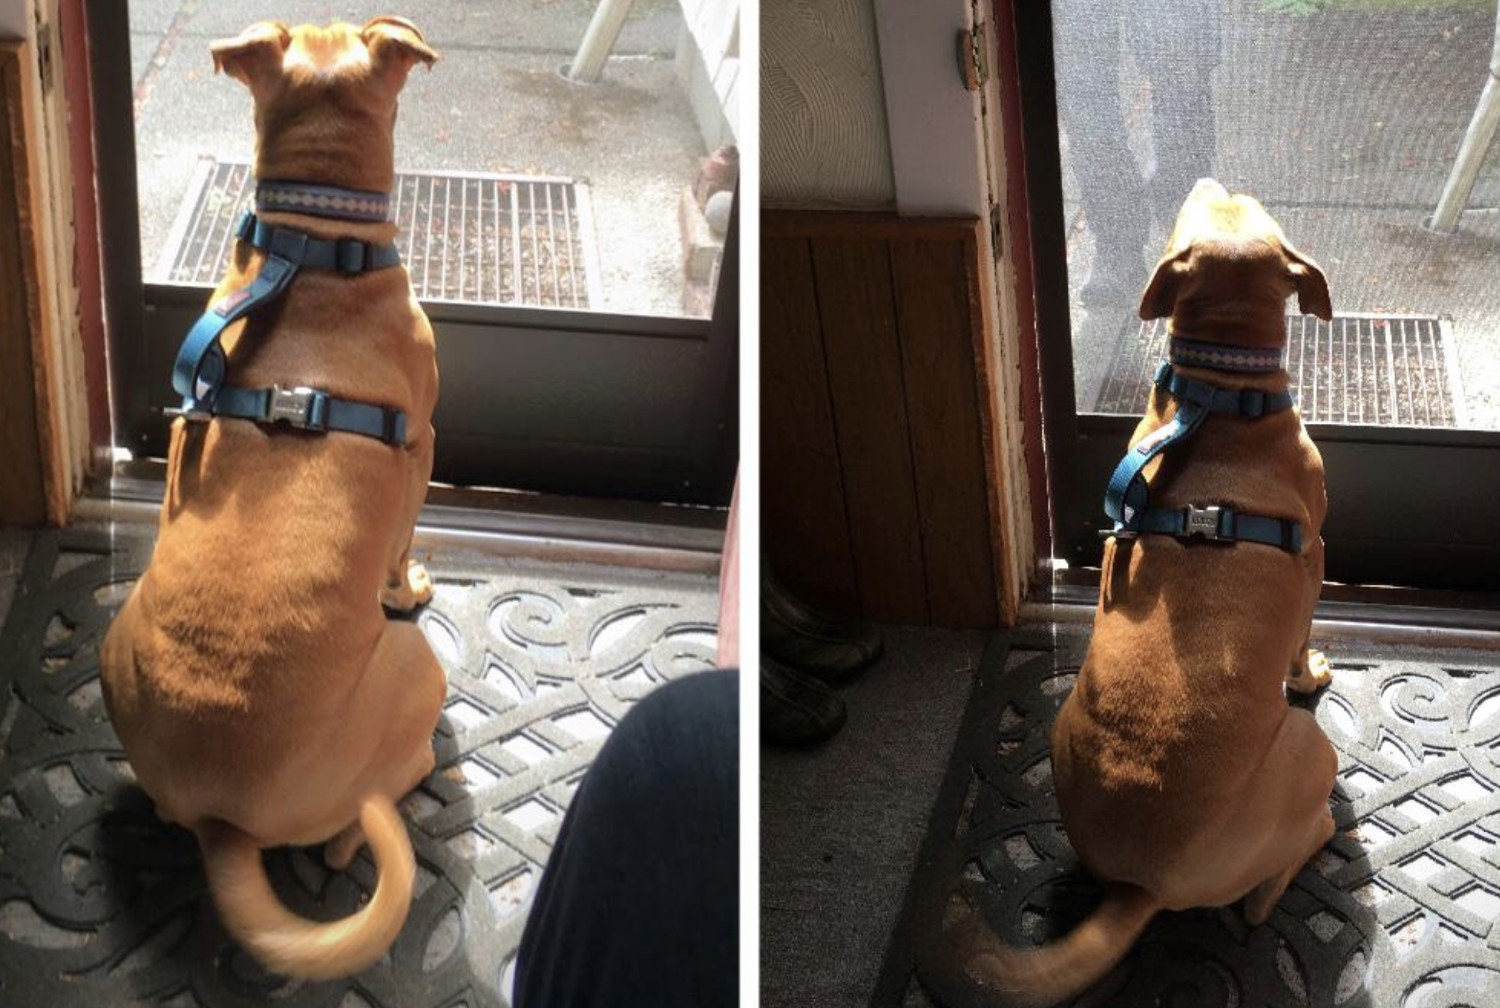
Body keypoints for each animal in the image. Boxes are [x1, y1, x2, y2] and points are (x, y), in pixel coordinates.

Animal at [96, 17, 438, 984]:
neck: (314, 246)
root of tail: (224, 824)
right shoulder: (426, 441)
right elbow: (404, 540)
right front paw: (413, 579)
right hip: (416, 670)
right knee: (352, 828)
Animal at [960, 179, 1350, 1002]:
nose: (1207, 178)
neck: (1224, 394)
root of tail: (1143, 886)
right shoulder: (1317, 557)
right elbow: (1301, 642)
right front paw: (1312, 671)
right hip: (1308, 750)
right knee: (1268, 889)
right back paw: (1316, 839)